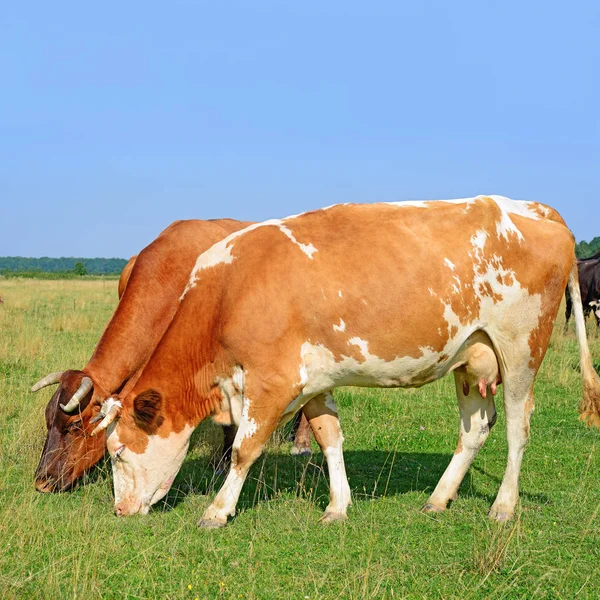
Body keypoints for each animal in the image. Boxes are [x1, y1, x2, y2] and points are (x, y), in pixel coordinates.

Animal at [92, 196, 600, 524]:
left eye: (117, 452)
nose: (119, 511)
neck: (228, 292)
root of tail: (536, 208)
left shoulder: (272, 381)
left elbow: (243, 450)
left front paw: (217, 511)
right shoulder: (314, 381)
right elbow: (329, 437)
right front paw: (337, 506)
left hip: (520, 350)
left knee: (518, 425)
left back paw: (503, 506)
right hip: (472, 358)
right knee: (474, 429)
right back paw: (438, 499)